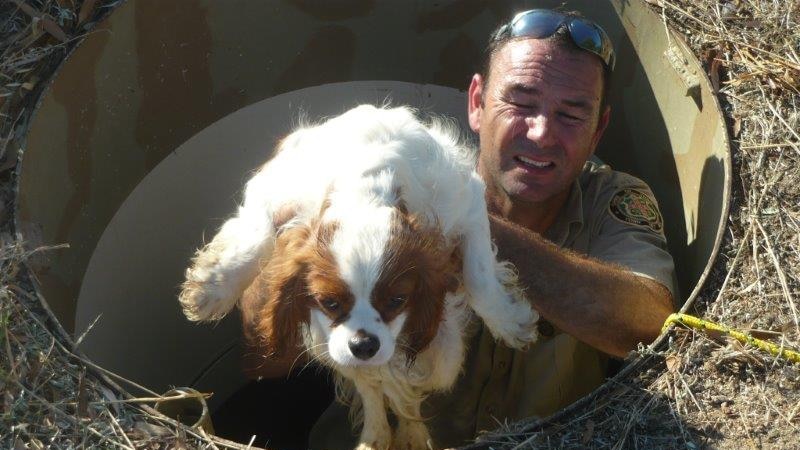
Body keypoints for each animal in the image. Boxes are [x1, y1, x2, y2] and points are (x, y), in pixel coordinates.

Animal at [179, 104, 540, 450]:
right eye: (329, 302)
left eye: (398, 300)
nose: (364, 345)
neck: (366, 188)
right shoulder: (272, 192)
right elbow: (255, 238)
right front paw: (211, 290)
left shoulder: (468, 204)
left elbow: (479, 275)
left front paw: (511, 323)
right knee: (373, 390)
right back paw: (375, 436)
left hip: (443, 350)